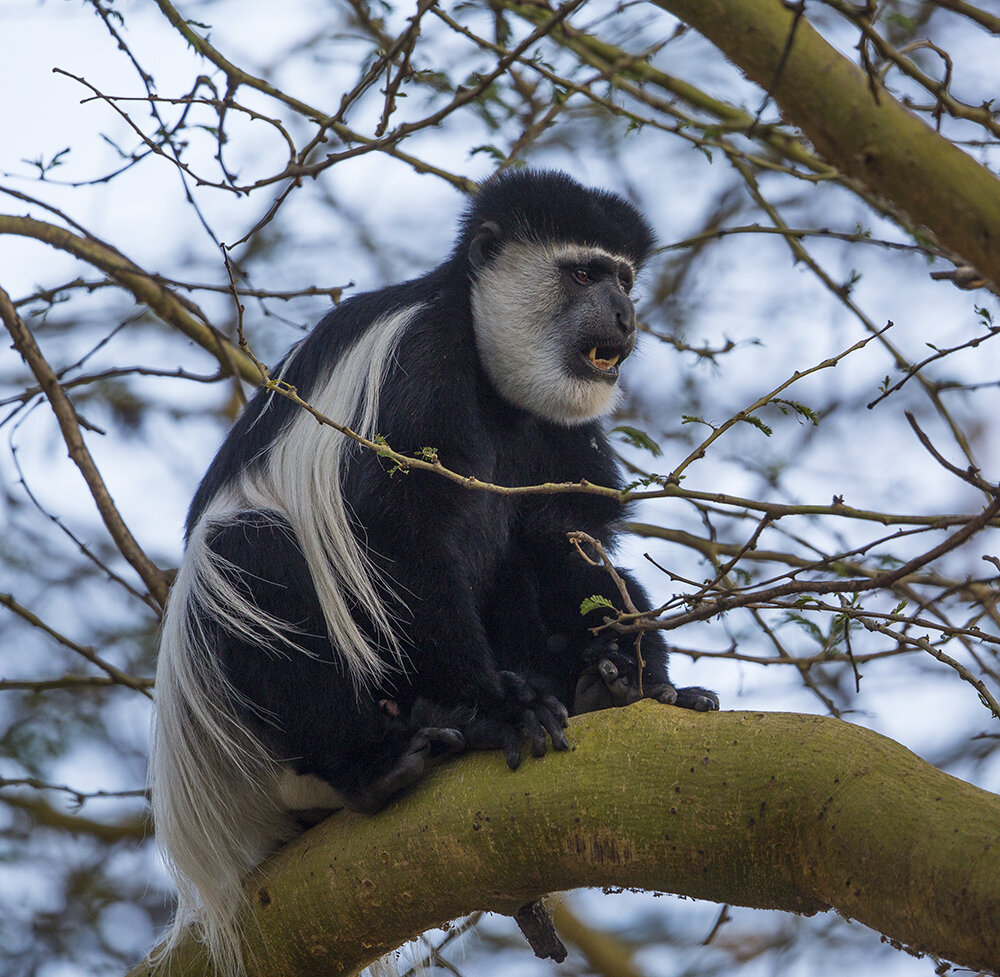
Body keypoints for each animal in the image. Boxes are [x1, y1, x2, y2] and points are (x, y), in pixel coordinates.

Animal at [150, 172, 720, 972]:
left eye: (624, 278)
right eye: (583, 274)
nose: (625, 314)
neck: (490, 376)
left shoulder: (564, 428)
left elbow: (565, 538)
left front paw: (638, 678)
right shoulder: (417, 361)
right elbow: (399, 530)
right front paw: (499, 710)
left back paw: (594, 686)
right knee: (249, 553)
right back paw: (381, 760)